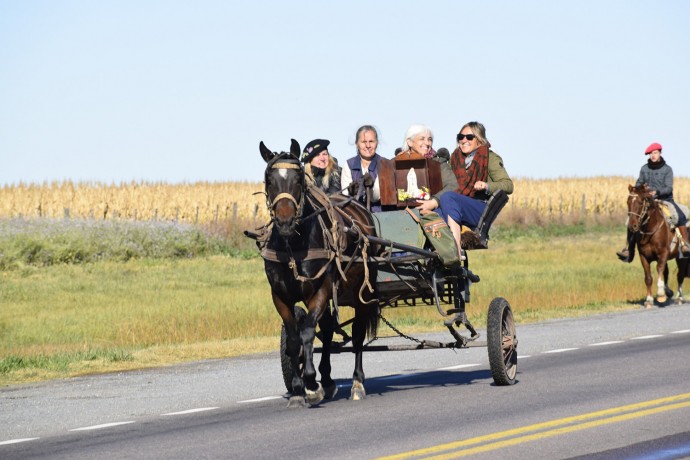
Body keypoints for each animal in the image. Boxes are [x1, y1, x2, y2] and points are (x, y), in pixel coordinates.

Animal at [255, 139, 378, 406]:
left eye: (299, 179)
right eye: (269, 179)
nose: (285, 222)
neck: (293, 247)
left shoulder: (321, 289)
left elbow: (309, 332)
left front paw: (312, 383)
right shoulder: (280, 296)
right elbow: (294, 339)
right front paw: (298, 389)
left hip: (361, 291)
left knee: (357, 334)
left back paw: (356, 382)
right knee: (329, 329)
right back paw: (329, 380)